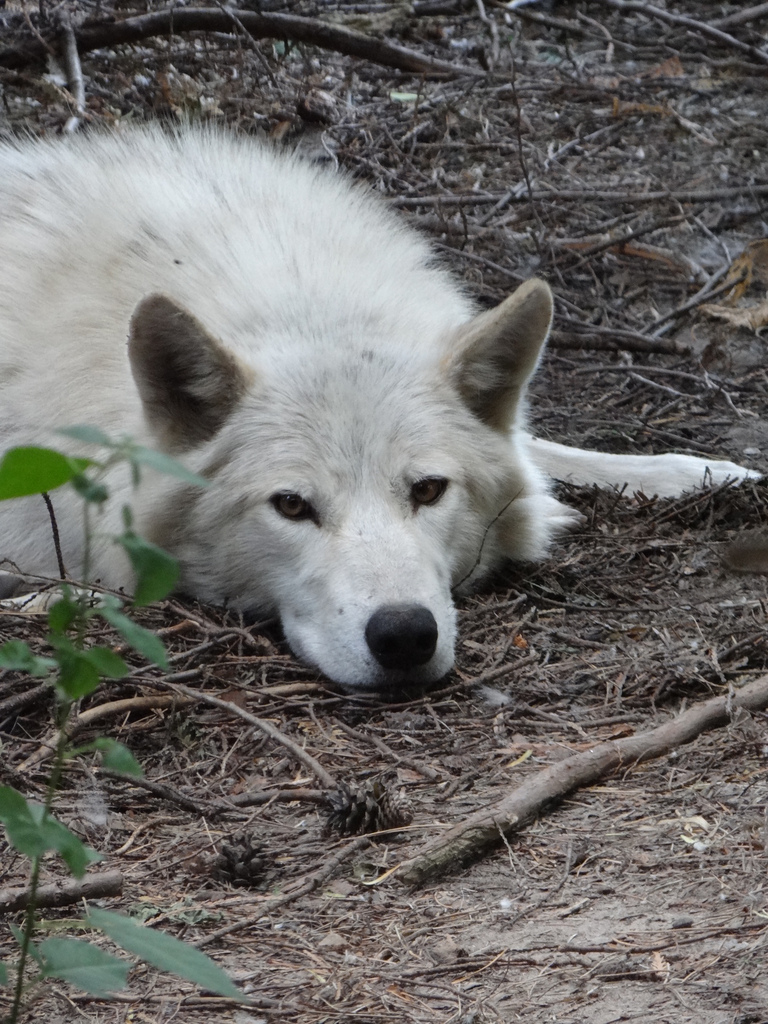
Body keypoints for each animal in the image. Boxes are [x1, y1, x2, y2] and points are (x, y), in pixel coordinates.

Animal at [0, 128, 758, 690]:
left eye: (428, 490)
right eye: (291, 505)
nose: (404, 635)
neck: (299, 300)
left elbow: (549, 454)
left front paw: (708, 475)